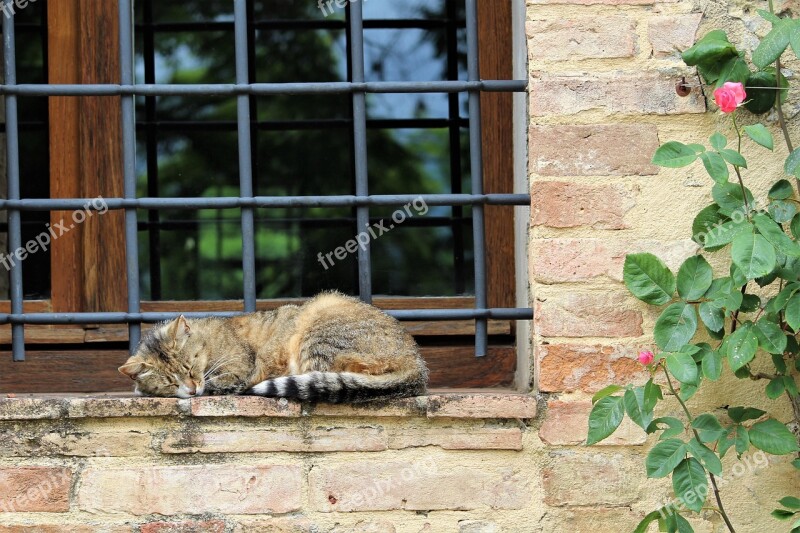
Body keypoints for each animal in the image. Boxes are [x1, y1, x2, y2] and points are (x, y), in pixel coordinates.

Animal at [118, 290, 428, 404]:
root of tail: (416, 361)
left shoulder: (240, 367)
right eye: (169, 382)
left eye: (190, 366)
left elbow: (226, 382)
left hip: (319, 322)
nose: (192, 388)